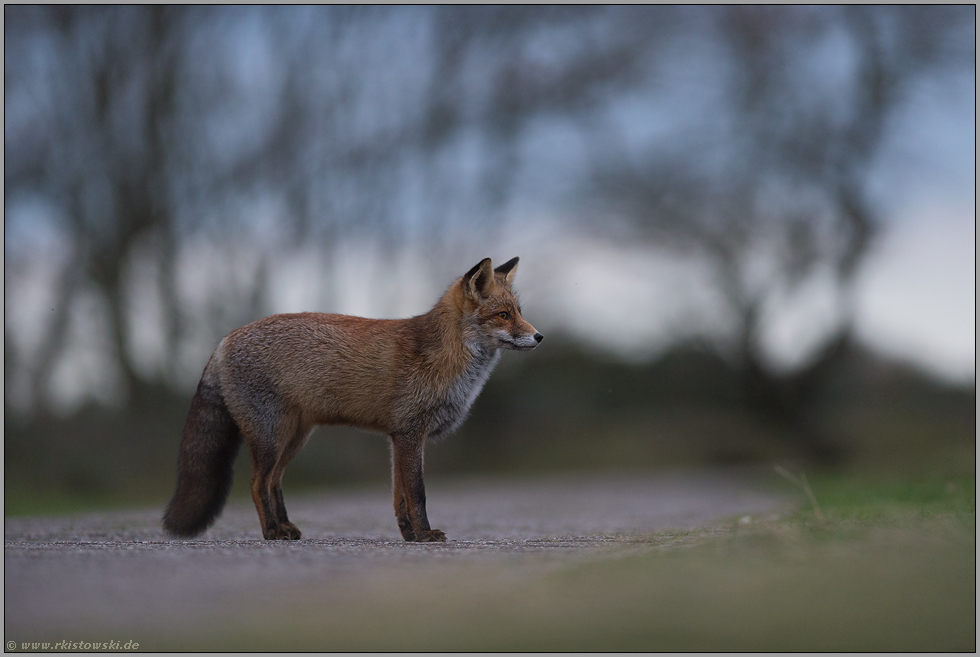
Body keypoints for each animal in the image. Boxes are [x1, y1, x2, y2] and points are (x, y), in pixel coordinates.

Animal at [164, 258, 540, 540]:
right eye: (503, 315)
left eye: (519, 311)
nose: (539, 337)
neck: (447, 359)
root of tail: (224, 340)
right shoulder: (409, 433)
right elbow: (417, 493)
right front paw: (425, 535)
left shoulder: (397, 437)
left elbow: (399, 497)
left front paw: (409, 535)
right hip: (272, 437)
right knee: (258, 483)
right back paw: (271, 531)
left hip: (293, 438)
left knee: (274, 482)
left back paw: (285, 526)